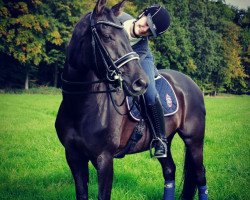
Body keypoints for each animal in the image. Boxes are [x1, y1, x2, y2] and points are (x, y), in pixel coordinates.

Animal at [55, 0, 208, 199]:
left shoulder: (104, 159)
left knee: (200, 174)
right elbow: (81, 194)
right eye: (106, 36)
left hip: (194, 140)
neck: (79, 107)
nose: (141, 82)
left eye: (127, 40)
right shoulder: (74, 156)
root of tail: (192, 84)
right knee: (169, 170)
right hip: (167, 141)